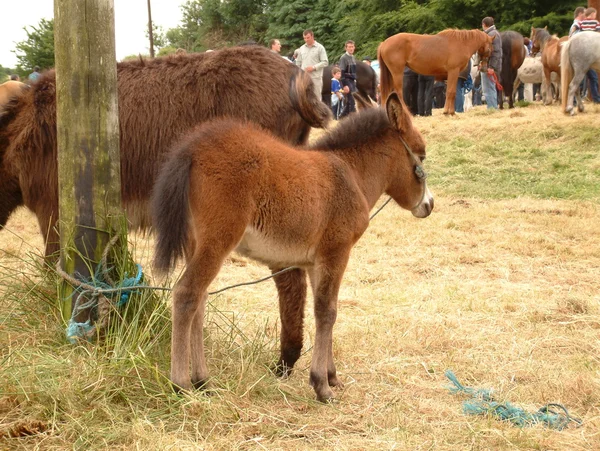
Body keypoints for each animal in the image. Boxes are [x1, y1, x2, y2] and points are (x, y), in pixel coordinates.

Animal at [152, 92, 434, 402]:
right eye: (421, 155)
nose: (429, 205)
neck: (351, 173)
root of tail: (194, 146)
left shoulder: (315, 262)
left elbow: (325, 309)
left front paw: (331, 376)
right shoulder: (337, 253)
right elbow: (327, 311)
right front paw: (321, 386)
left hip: (197, 244)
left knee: (199, 301)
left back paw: (203, 380)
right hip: (217, 240)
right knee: (186, 294)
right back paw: (181, 383)